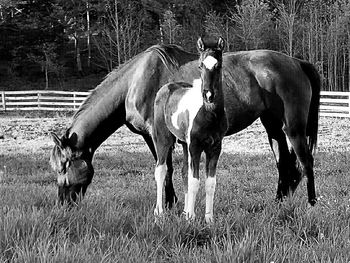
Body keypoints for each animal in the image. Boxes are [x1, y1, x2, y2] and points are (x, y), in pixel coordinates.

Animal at [49, 42, 320, 208]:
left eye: (64, 166)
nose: (63, 203)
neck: (135, 81)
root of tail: (297, 62)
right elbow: (179, 171)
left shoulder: (156, 135)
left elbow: (166, 170)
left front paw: (168, 204)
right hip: (272, 125)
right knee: (284, 163)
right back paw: (279, 203)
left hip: (293, 127)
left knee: (305, 161)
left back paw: (311, 203)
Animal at [151, 36, 227, 223]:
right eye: (200, 65)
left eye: (218, 65)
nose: (208, 95)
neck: (209, 115)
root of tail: (166, 87)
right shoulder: (195, 146)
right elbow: (195, 181)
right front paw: (191, 218)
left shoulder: (215, 147)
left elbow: (210, 183)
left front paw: (208, 219)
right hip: (163, 139)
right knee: (160, 170)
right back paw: (160, 211)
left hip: (184, 143)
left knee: (184, 172)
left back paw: (184, 211)